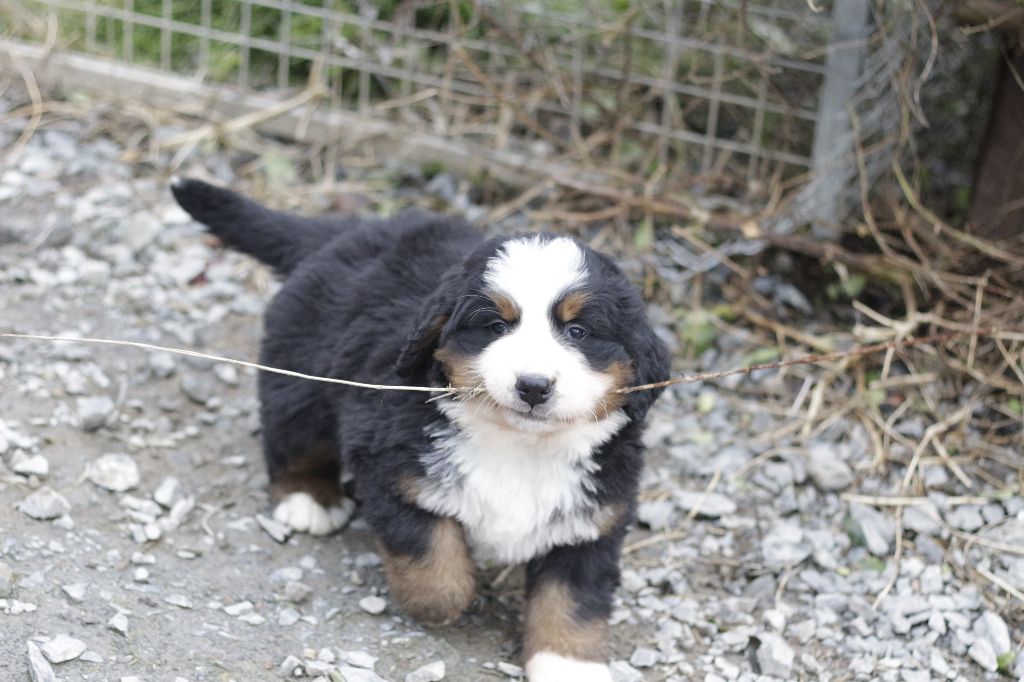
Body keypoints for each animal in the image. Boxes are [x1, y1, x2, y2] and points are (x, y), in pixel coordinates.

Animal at [170, 178, 670, 681]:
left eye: (578, 332)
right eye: (495, 325)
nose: (532, 385)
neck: (518, 444)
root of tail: (344, 233)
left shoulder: (593, 517)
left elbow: (573, 600)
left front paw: (569, 664)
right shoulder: (393, 466)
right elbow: (432, 562)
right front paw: (447, 600)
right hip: (302, 373)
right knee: (293, 437)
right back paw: (308, 499)